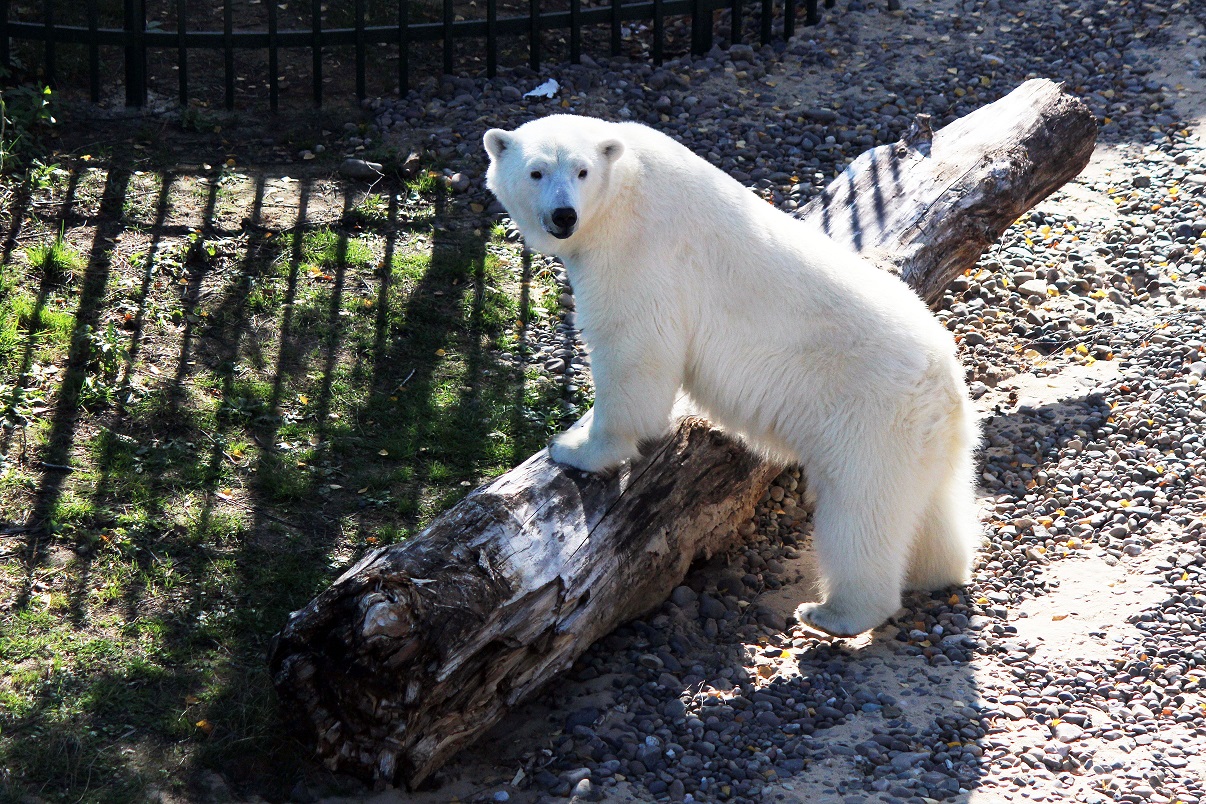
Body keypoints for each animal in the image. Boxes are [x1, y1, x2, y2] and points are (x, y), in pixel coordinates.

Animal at [479, 114, 979, 641]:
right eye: (535, 172)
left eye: (581, 171)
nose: (563, 216)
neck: (626, 188)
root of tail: (947, 384)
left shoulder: (640, 254)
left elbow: (635, 350)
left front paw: (576, 449)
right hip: (922, 435)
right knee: (932, 504)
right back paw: (934, 571)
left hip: (870, 415)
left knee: (861, 510)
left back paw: (834, 612)